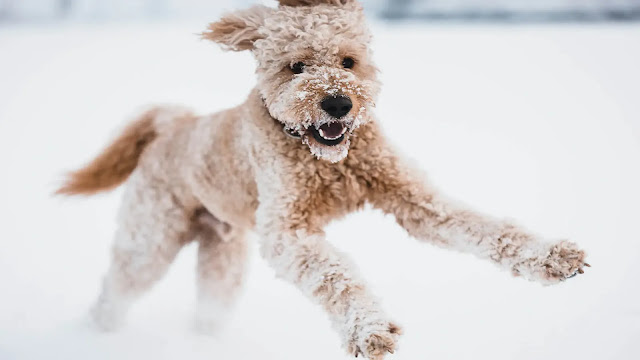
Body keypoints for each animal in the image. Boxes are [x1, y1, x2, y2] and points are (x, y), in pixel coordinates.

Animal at [60, 1, 592, 358]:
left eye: (348, 61)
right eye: (296, 66)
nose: (338, 103)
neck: (330, 162)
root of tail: (170, 126)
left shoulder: (414, 199)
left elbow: (483, 227)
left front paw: (553, 256)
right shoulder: (287, 231)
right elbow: (337, 277)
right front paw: (369, 329)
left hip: (223, 256)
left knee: (210, 303)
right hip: (149, 240)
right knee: (116, 290)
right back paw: (95, 335)